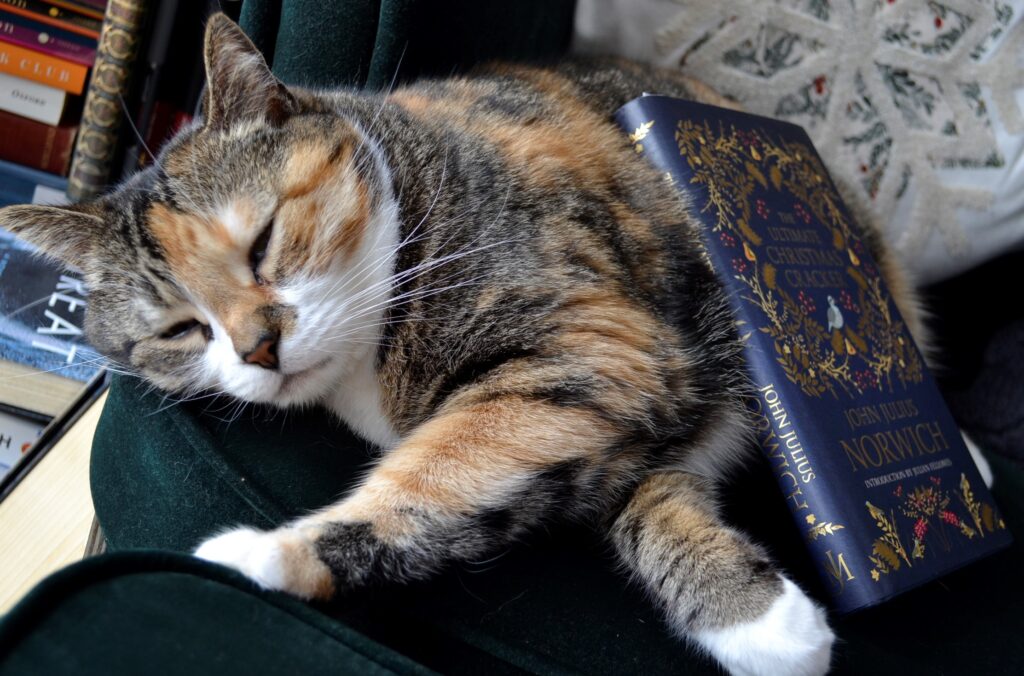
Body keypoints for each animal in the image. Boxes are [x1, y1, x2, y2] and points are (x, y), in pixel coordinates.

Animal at [0, 11, 991, 676]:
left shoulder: (595, 345)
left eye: (264, 241)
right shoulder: (610, 399)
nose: (257, 349)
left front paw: (262, 555)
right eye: (179, 328)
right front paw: (760, 620)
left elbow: (440, 471)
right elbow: (622, 497)